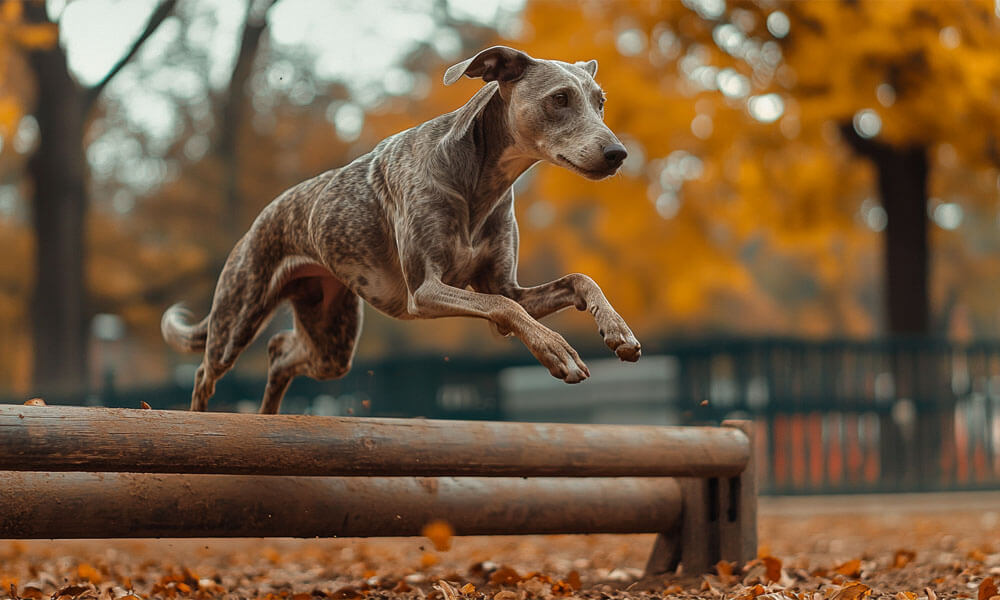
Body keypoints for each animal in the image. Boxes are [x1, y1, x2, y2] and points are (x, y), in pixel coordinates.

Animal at [156, 45, 640, 412]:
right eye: (559, 99)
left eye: (600, 101)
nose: (617, 154)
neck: (477, 183)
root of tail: (259, 221)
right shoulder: (425, 290)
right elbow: (505, 309)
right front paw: (557, 352)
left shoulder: (507, 285)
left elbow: (578, 280)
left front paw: (618, 332)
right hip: (237, 320)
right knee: (204, 372)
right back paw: (200, 421)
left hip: (332, 339)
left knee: (279, 353)